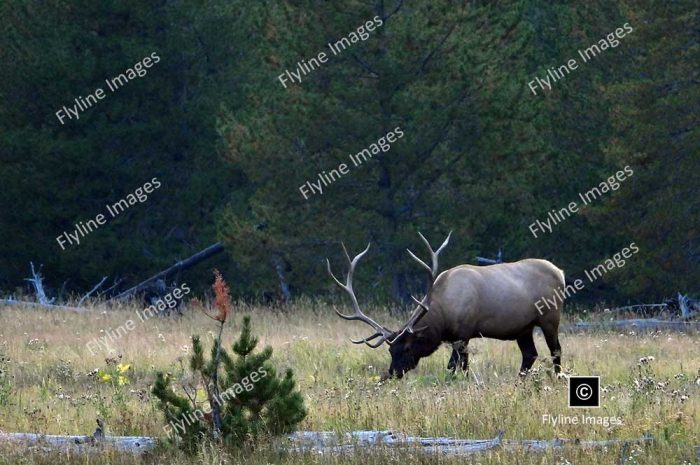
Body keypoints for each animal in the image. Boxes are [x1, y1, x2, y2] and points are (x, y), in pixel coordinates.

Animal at [328, 234, 564, 378]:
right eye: (390, 349)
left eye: (407, 347)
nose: (392, 373)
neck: (443, 316)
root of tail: (560, 272)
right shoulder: (459, 337)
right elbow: (463, 365)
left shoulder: (464, 332)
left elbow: (454, 365)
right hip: (523, 328)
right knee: (530, 354)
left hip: (550, 317)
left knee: (556, 350)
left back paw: (557, 378)